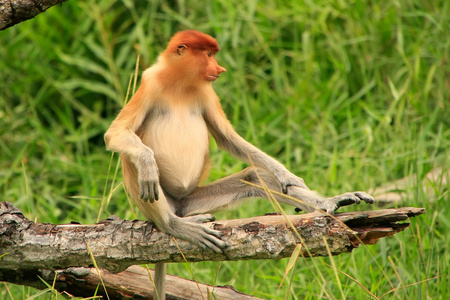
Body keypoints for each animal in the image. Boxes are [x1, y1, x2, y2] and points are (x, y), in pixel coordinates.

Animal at [103, 29, 374, 298]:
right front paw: (148, 164)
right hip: (160, 199)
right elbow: (115, 134)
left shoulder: (207, 93)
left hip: (193, 202)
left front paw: (287, 175)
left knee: (255, 176)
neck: (180, 83)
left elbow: (229, 139)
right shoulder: (150, 84)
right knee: (133, 160)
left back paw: (328, 203)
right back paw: (172, 223)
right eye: (209, 55)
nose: (220, 68)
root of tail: (178, 206)